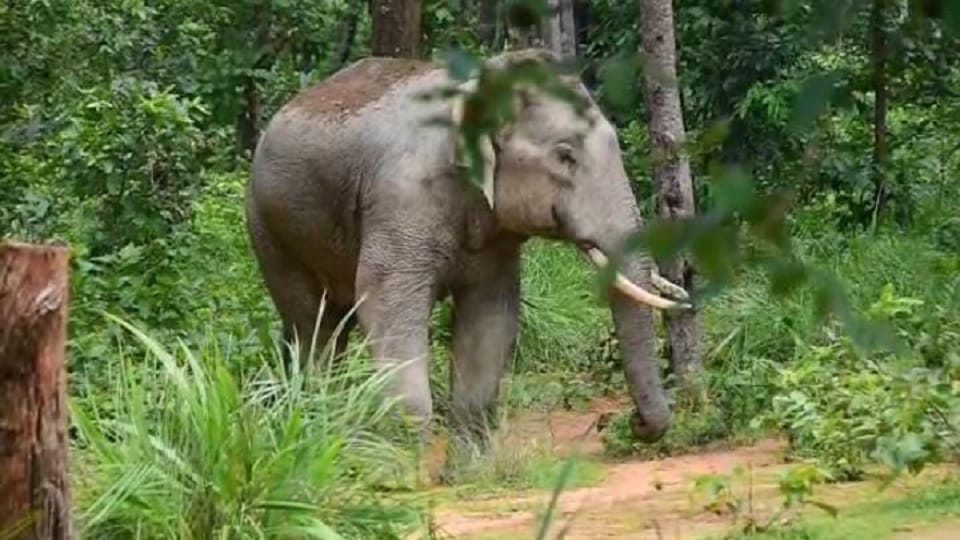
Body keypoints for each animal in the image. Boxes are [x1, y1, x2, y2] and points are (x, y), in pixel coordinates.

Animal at [244, 48, 691, 454]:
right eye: (565, 156)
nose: (628, 422)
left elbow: (490, 317)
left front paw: (467, 471)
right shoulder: (401, 199)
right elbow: (386, 307)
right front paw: (404, 470)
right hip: (269, 227)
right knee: (313, 323)